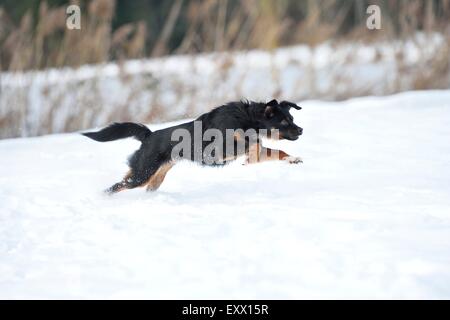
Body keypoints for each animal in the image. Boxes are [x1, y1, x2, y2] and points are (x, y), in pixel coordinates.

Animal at [82, 99, 304, 192]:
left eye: (292, 118)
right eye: (284, 122)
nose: (301, 130)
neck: (248, 119)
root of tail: (149, 135)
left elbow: (278, 151)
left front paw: (293, 159)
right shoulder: (217, 152)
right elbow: (248, 145)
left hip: (154, 177)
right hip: (142, 174)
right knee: (115, 187)